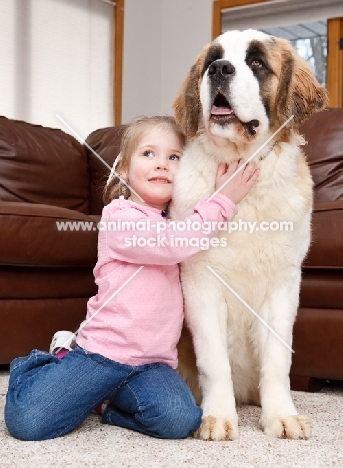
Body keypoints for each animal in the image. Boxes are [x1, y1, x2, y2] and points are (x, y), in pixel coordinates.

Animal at [171, 30, 330, 442]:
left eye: (256, 63)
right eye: (213, 59)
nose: (219, 69)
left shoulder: (283, 284)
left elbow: (276, 360)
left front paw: (282, 417)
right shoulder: (201, 285)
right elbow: (214, 362)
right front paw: (217, 418)